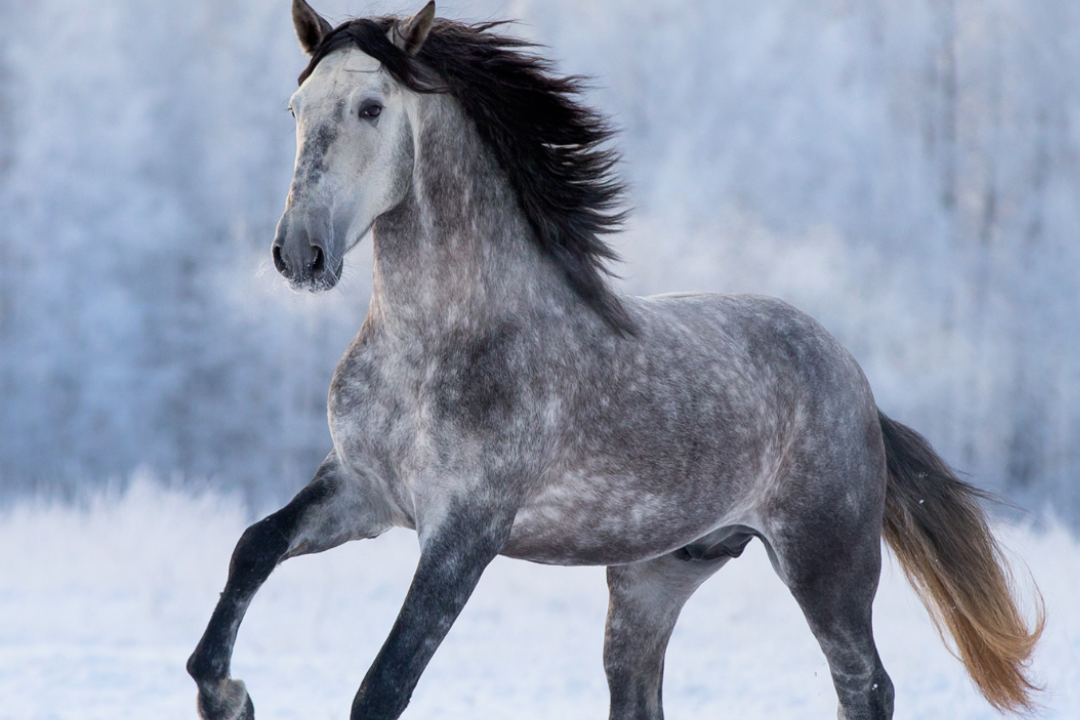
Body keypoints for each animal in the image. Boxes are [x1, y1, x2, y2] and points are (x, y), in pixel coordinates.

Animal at [186, 3, 1044, 719]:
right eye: (296, 110)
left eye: (371, 108)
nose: (300, 253)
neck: (438, 347)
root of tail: (855, 382)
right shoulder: (362, 492)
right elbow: (252, 548)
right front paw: (228, 696)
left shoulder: (465, 532)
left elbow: (384, 685)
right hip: (654, 576)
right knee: (641, 696)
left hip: (826, 564)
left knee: (865, 686)